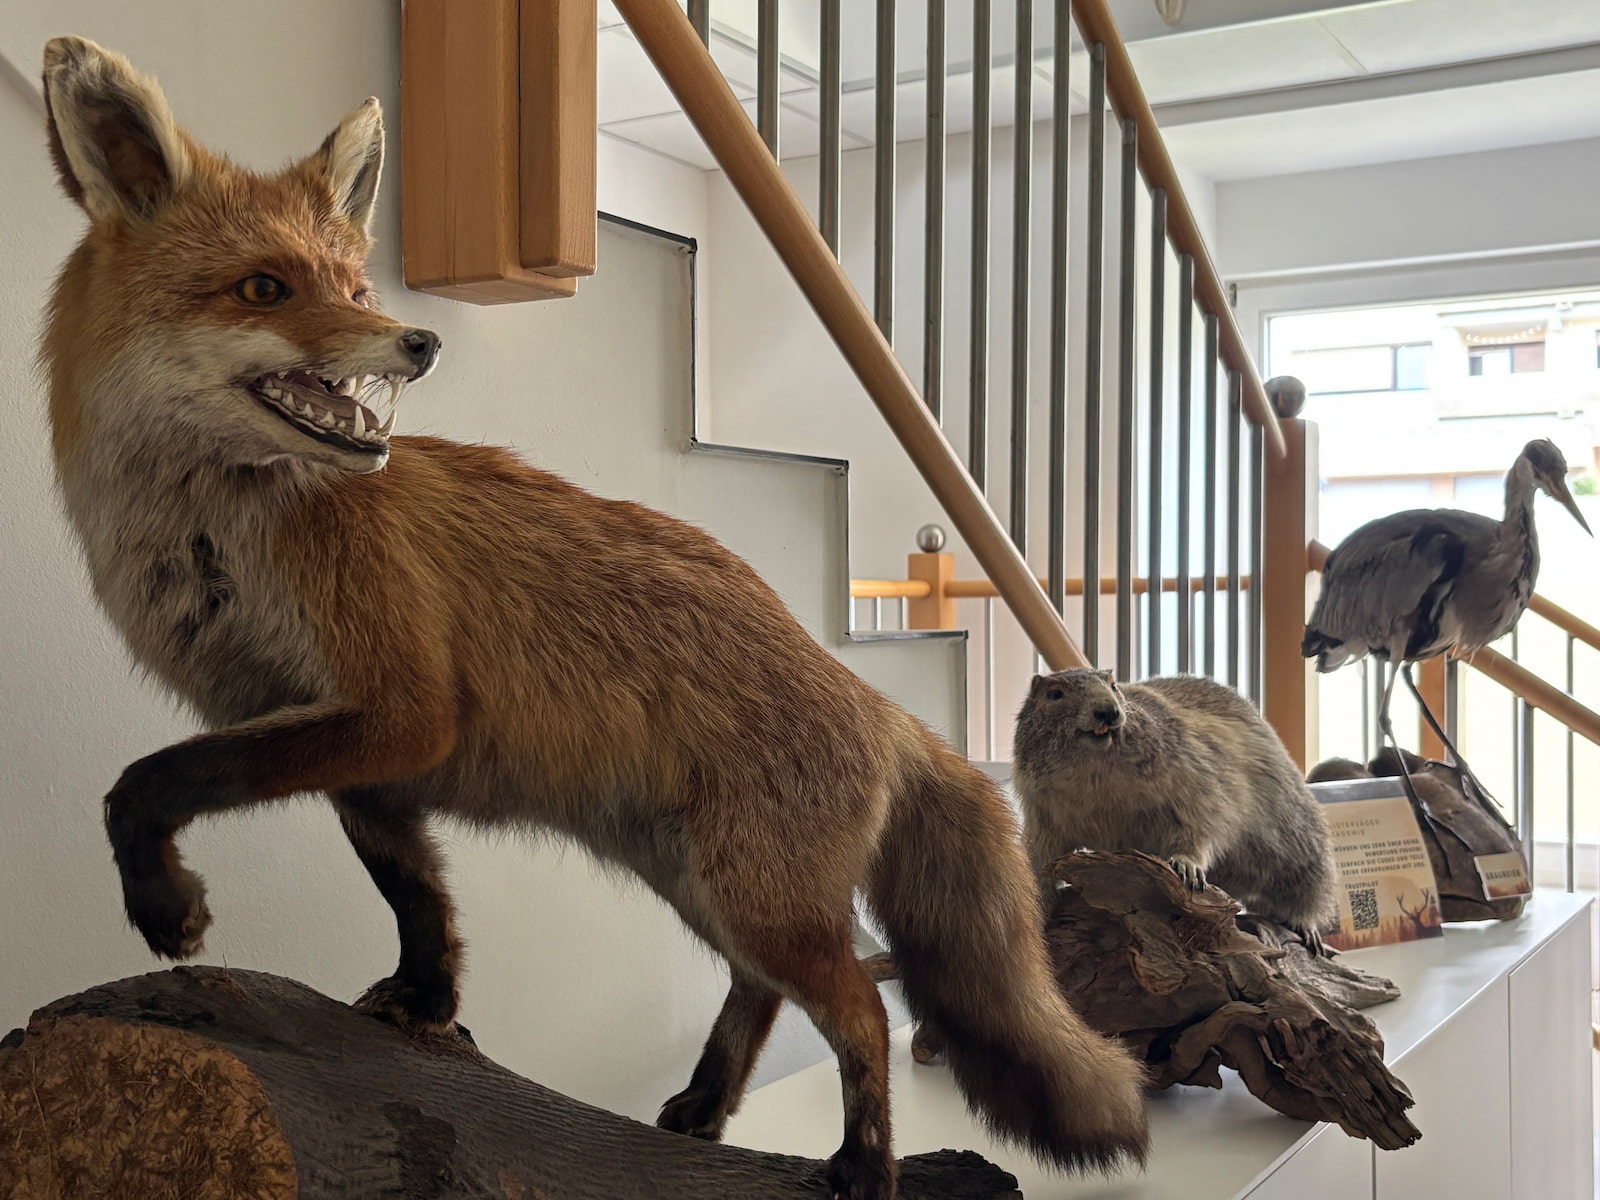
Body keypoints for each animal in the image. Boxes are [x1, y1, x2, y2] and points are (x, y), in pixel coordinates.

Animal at [38, 36, 1149, 1198]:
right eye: (265, 286)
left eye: (353, 285)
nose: (419, 339)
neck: (220, 550)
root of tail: (873, 699)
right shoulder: (365, 761)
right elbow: (418, 899)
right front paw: (426, 1007)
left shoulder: (398, 708)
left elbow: (145, 783)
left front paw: (163, 903)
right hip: (699, 882)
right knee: (766, 989)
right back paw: (705, 1107)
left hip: (748, 893)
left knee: (859, 1005)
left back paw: (864, 1162)